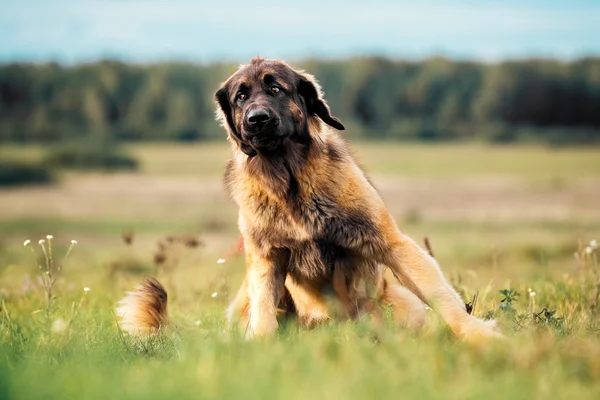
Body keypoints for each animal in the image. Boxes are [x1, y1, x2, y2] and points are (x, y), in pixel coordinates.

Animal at [117, 57, 502, 344]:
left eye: (275, 88)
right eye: (241, 97)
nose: (257, 120)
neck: (289, 180)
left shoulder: (391, 243)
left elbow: (443, 298)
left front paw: (481, 337)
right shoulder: (267, 258)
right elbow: (264, 314)